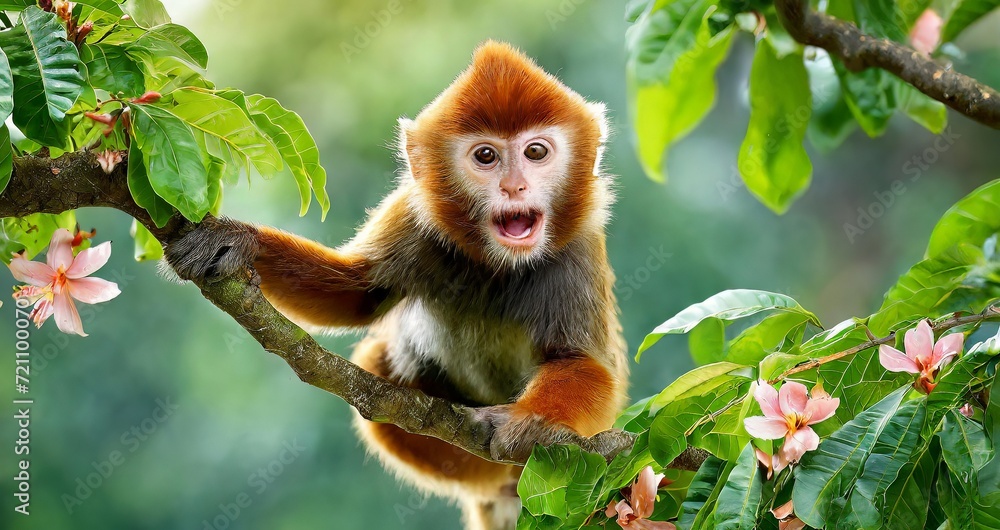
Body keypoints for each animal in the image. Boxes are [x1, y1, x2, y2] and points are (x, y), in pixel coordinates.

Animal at [165, 41, 628, 530]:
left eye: (536, 152)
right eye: (486, 157)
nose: (514, 186)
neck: (496, 264)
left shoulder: (578, 253)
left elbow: (586, 363)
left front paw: (534, 424)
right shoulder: (412, 216)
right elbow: (358, 293)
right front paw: (239, 240)